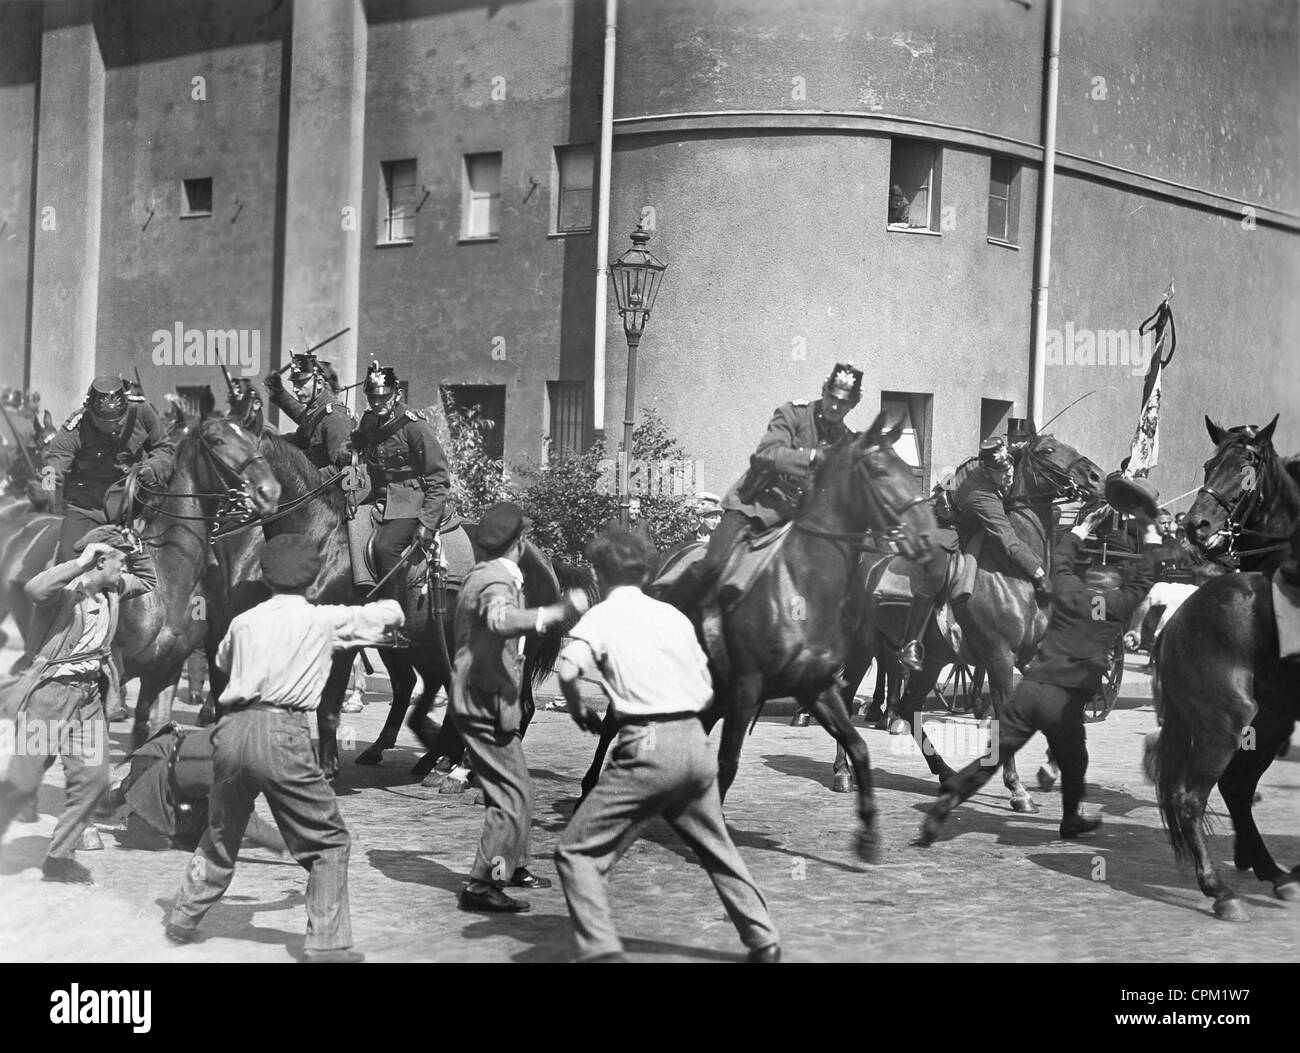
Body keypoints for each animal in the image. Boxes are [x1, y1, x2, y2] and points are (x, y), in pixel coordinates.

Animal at [670, 413, 935, 857]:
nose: (929, 539)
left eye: (908, 469)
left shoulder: (816, 685)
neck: (802, 582)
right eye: (880, 470)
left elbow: (860, 747)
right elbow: (728, 762)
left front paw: (867, 835)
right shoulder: (747, 686)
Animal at [837, 431, 1102, 806]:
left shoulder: (1031, 654)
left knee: (909, 708)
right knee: (847, 699)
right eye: (1049, 450)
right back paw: (843, 772)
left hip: (932, 660)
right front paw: (1017, 788)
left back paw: (946, 773)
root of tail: (866, 562)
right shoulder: (1000, 658)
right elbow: (1005, 717)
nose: (1096, 477)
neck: (1013, 569)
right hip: (864, 647)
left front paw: (1051, 768)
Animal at [1149, 413, 1300, 920]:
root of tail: (1176, 620)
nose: (1196, 524)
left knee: (1235, 786)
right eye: (1208, 465)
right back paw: (1221, 889)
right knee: (1192, 798)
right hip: (1226, 724)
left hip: (1267, 723)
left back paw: (1272, 872)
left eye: (1246, 469)